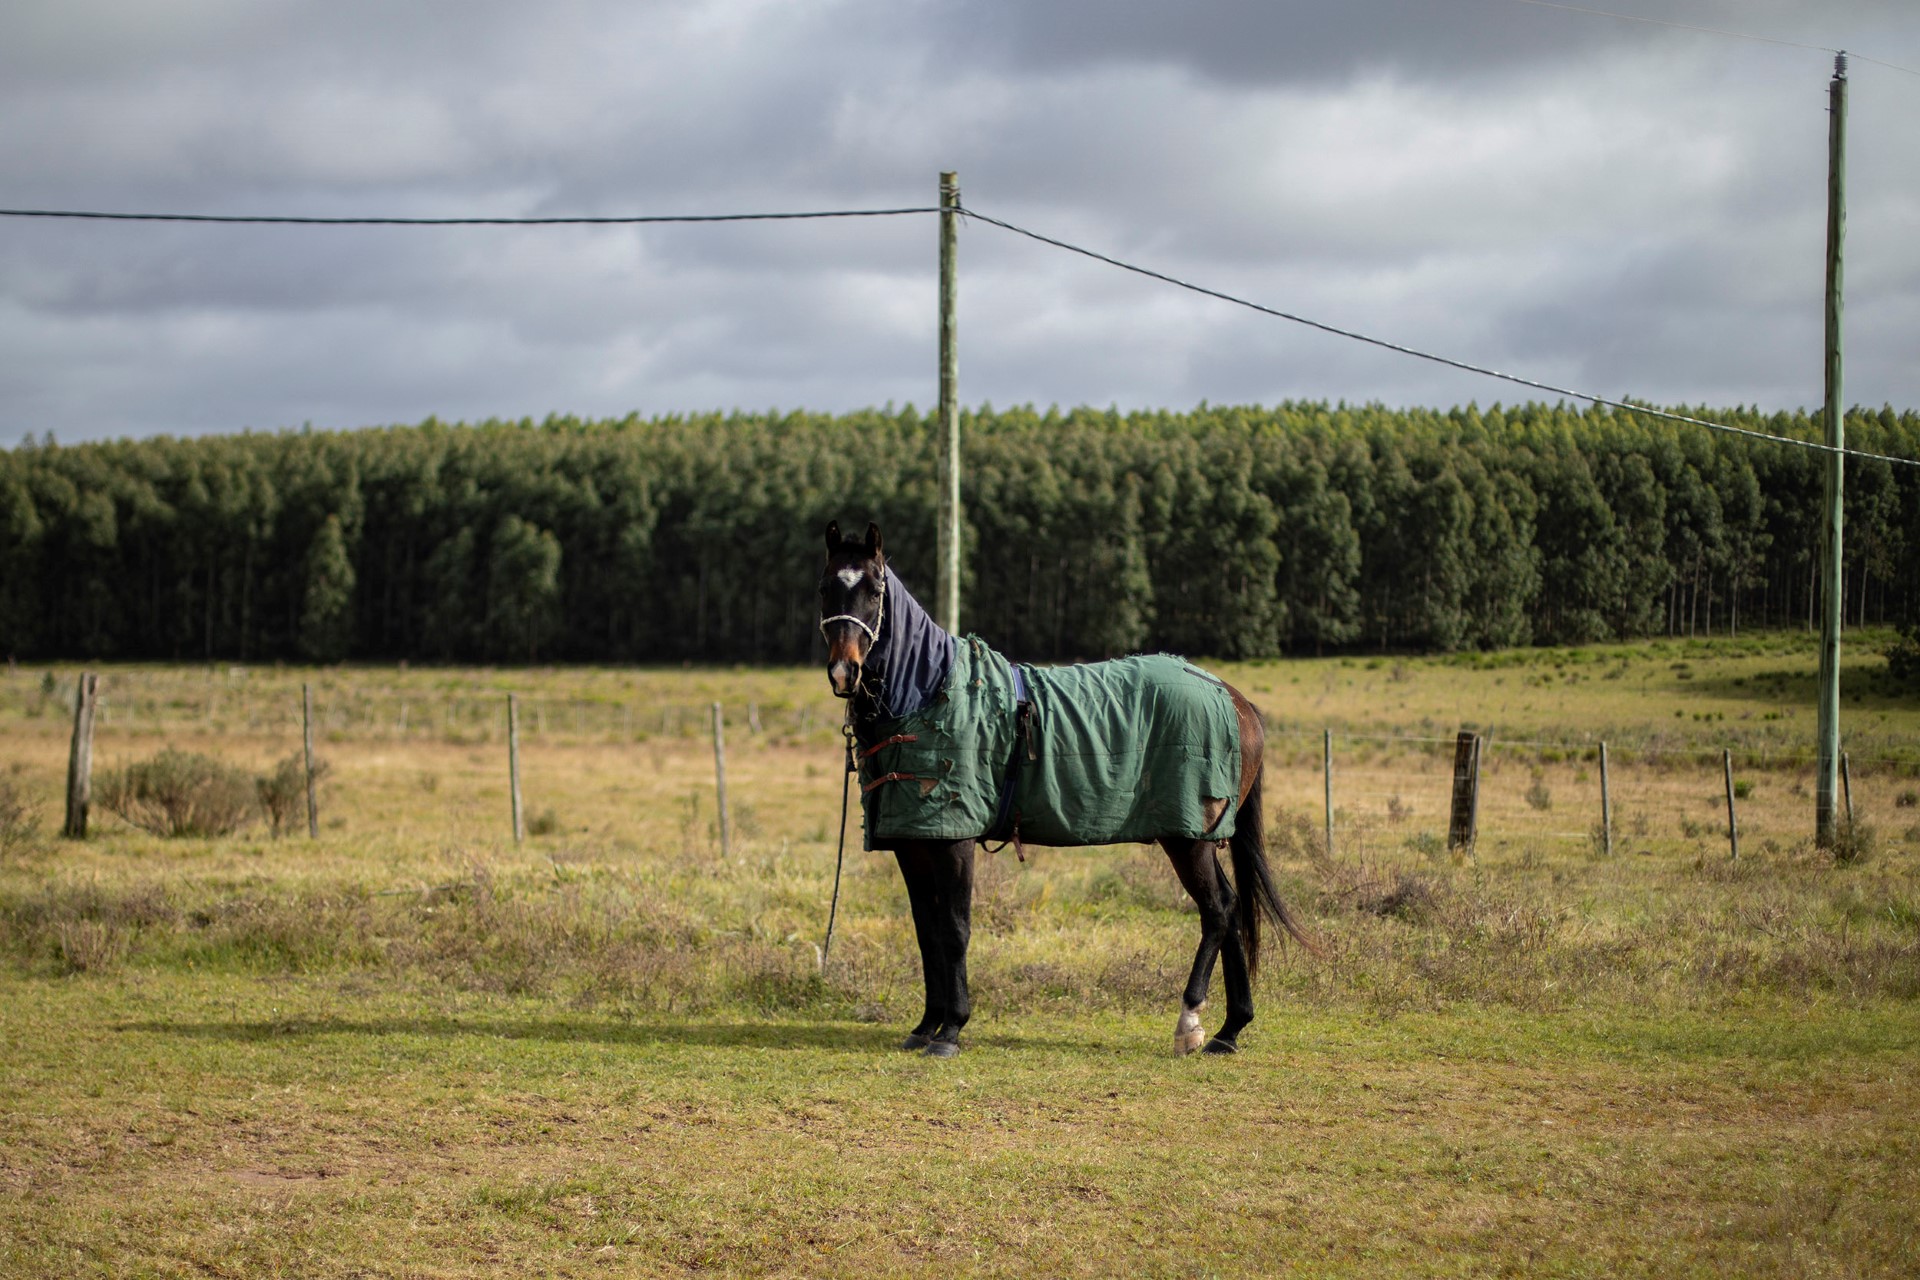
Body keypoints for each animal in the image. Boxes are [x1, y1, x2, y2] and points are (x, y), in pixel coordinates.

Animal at [817, 521, 1313, 1059]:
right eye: (825, 587)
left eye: (873, 589)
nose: (845, 672)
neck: (931, 696)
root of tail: (1233, 698)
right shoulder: (913, 844)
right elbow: (927, 931)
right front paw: (926, 1025)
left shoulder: (953, 843)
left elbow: (954, 929)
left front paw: (951, 1029)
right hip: (1198, 839)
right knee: (1232, 909)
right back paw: (1229, 1030)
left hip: (1188, 840)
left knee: (1218, 911)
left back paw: (1191, 1021)